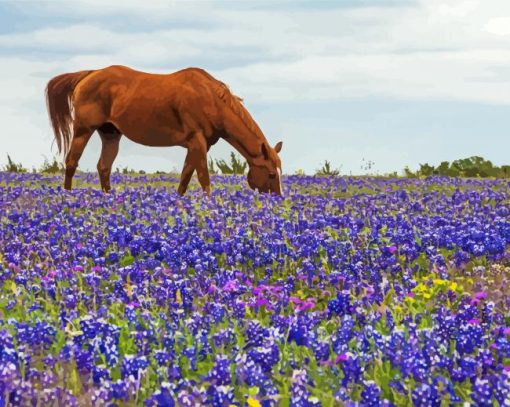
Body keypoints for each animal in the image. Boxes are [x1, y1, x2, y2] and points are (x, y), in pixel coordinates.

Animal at [43, 64, 282, 195]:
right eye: (271, 173)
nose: (278, 199)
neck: (211, 101)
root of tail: (89, 74)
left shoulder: (196, 145)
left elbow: (185, 177)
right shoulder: (197, 141)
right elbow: (203, 178)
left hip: (110, 134)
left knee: (103, 167)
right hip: (83, 129)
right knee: (71, 162)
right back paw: (68, 197)